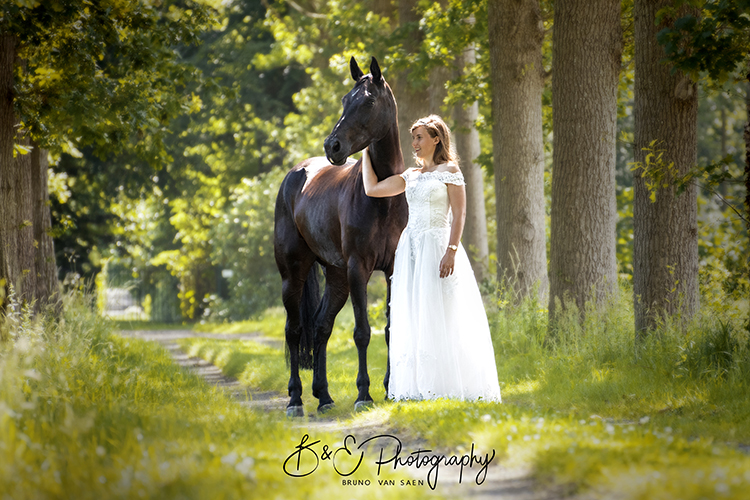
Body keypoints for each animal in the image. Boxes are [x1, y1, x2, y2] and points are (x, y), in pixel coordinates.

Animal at [274, 56, 408, 416]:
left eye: (368, 102)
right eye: (345, 100)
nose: (332, 146)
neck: (381, 197)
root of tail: (296, 173)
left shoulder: (392, 270)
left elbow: (390, 329)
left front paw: (390, 389)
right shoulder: (358, 268)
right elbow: (362, 332)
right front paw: (364, 394)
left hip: (336, 278)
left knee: (321, 326)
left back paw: (324, 396)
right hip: (295, 274)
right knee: (294, 331)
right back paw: (295, 399)